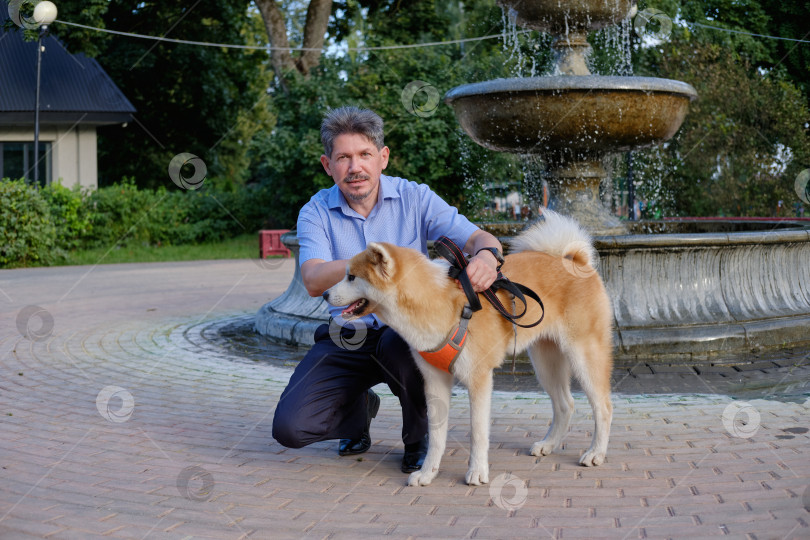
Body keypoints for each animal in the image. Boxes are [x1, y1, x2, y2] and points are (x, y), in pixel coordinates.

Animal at [322, 210, 612, 486]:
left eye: (351, 277)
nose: (324, 294)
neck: (436, 301)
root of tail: (575, 260)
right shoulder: (434, 382)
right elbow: (436, 436)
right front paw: (428, 473)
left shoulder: (479, 379)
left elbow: (478, 433)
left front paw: (477, 472)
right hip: (545, 363)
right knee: (565, 404)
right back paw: (549, 444)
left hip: (584, 357)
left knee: (603, 408)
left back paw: (596, 453)